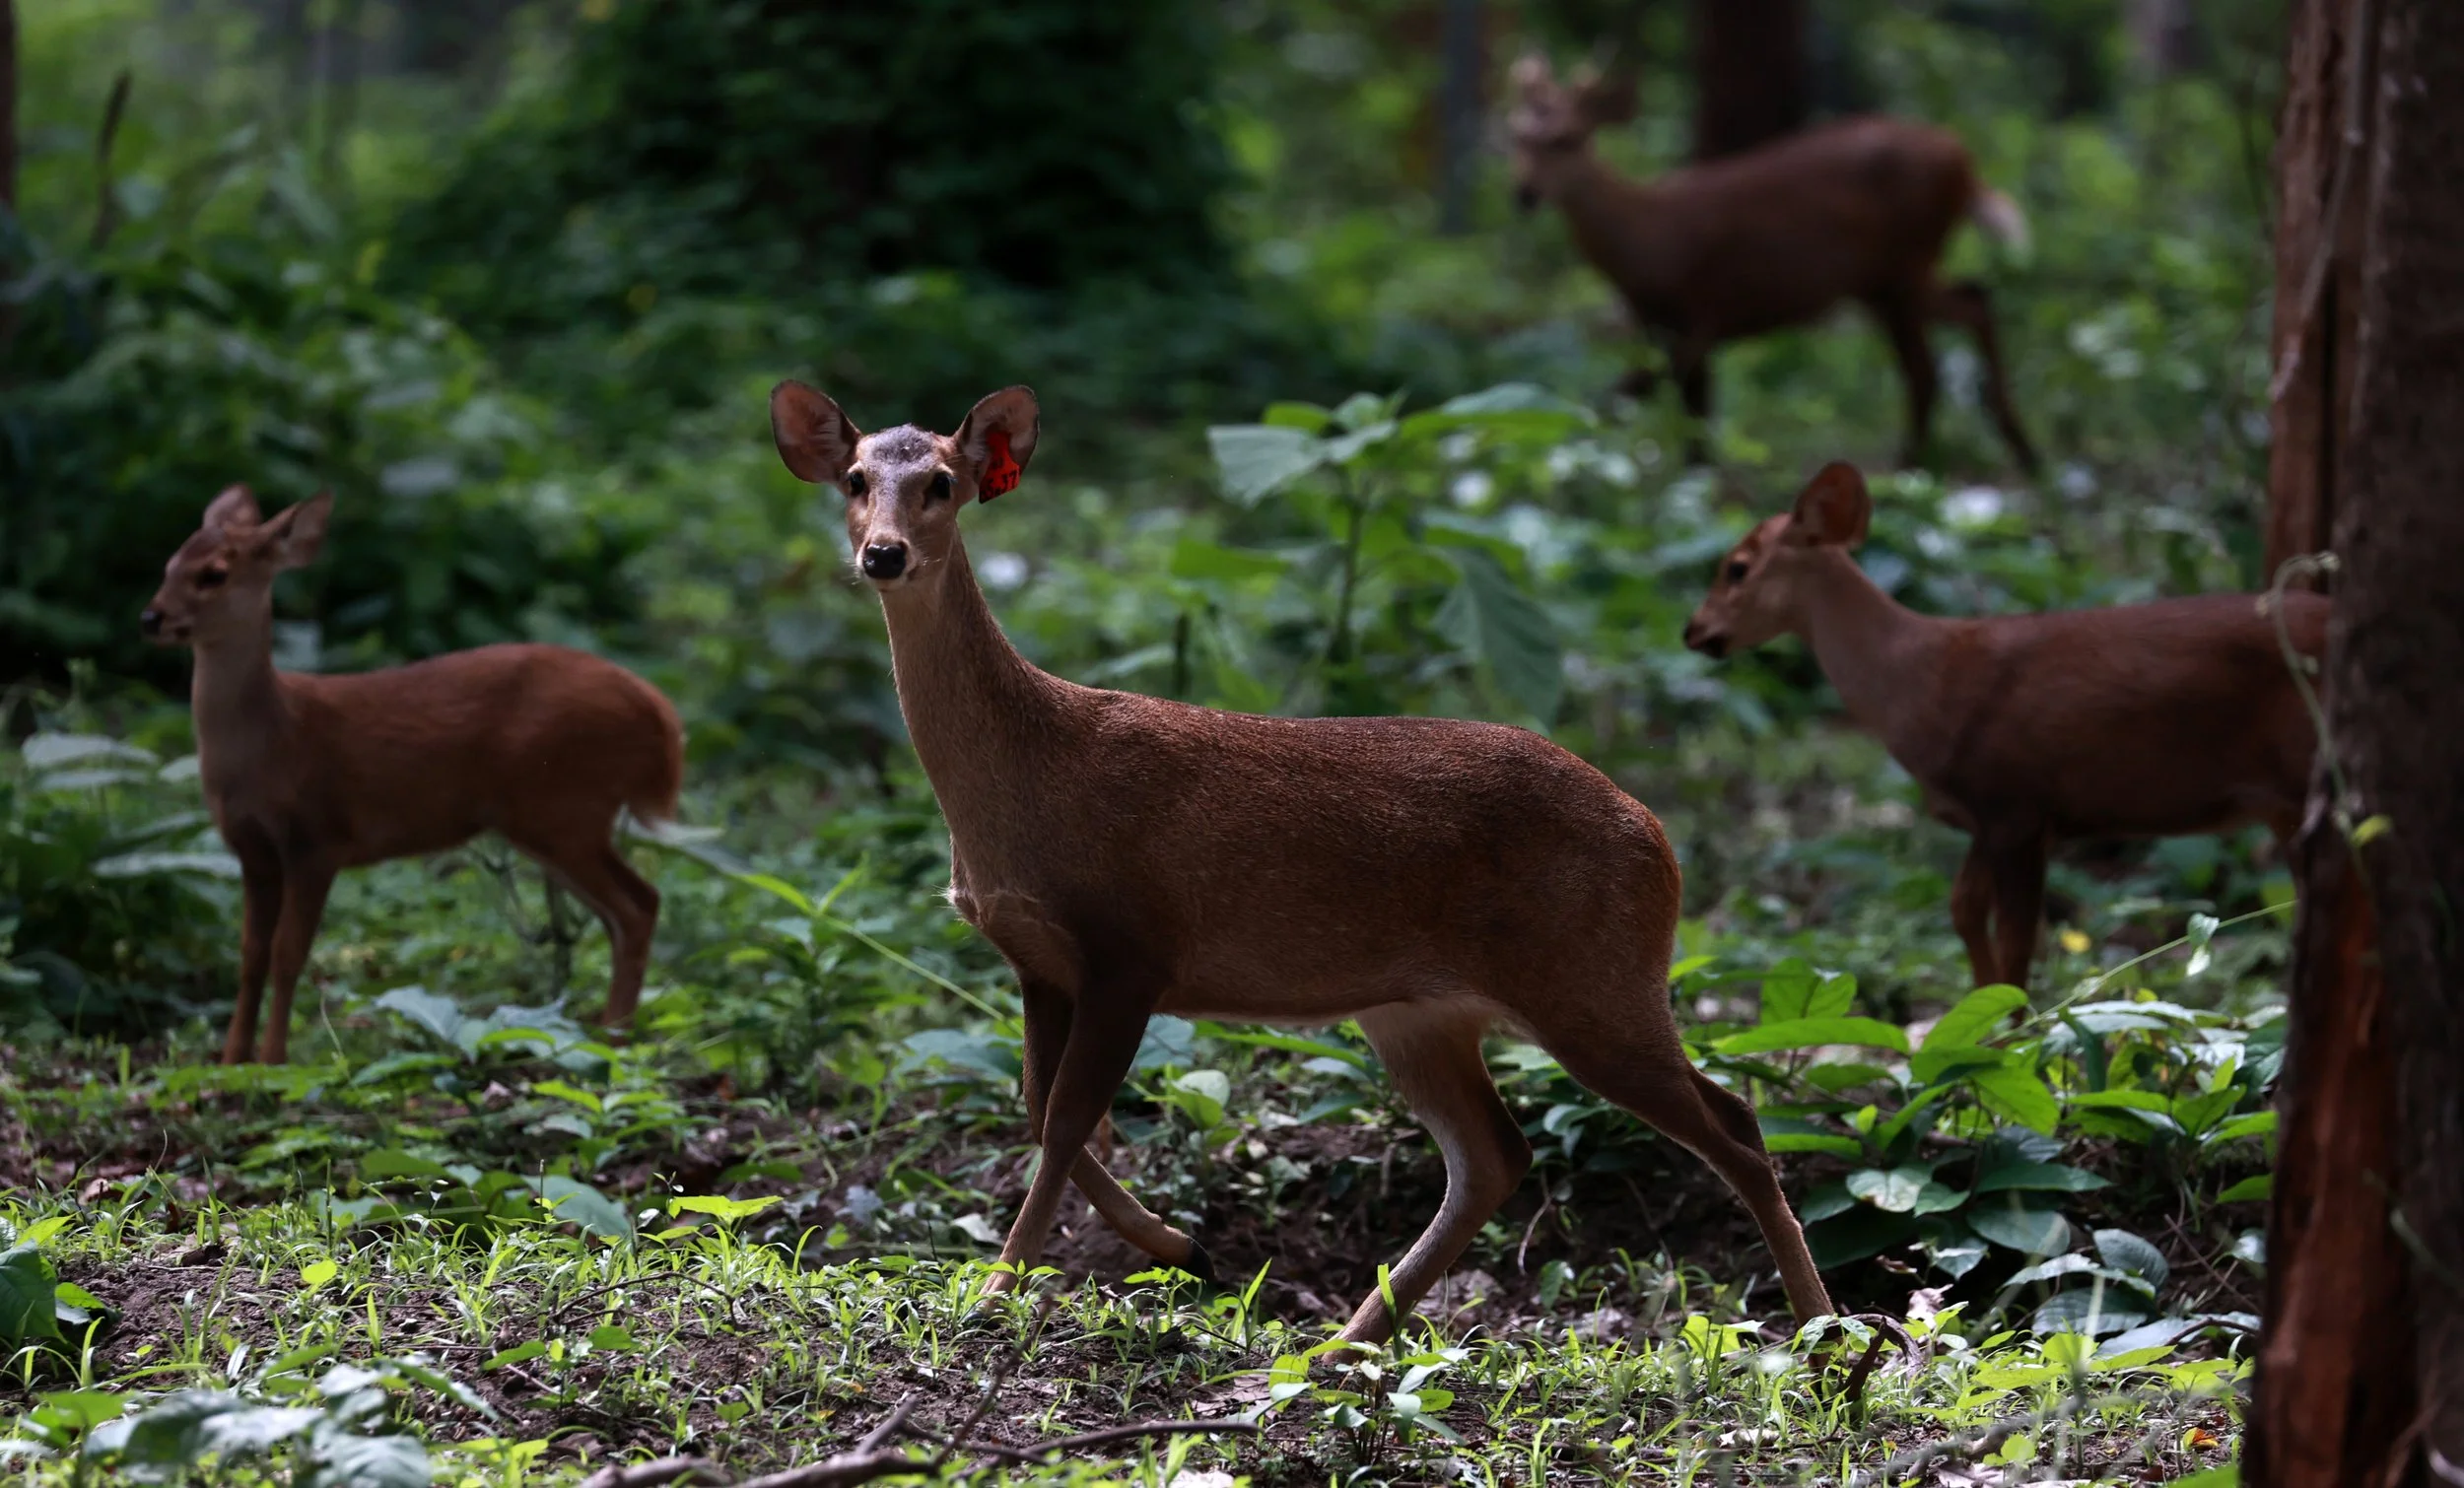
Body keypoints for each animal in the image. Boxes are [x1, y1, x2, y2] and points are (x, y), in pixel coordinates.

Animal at [140, 485, 684, 1064]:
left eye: (214, 574)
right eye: (169, 564)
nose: (151, 618)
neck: (274, 741)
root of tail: (658, 714)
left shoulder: (319, 836)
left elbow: (290, 953)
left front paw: (272, 1061)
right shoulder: (252, 848)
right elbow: (250, 953)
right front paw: (231, 1060)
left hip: (563, 807)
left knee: (639, 905)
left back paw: (614, 1039)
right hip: (554, 819)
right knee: (623, 912)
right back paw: (606, 1035)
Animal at [768, 379, 1836, 1345]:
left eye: (942, 482)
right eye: (856, 479)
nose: (883, 552)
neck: (1026, 777)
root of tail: (1658, 837)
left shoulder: (1132, 944)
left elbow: (1068, 1118)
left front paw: (1001, 1288)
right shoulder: (1039, 959)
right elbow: (1039, 1111)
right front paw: (1180, 1248)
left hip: (1593, 975)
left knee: (1736, 1124)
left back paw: (1822, 1326)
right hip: (1419, 1009)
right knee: (1496, 1154)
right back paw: (1343, 1340)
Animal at [1507, 53, 2038, 475]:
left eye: (1568, 138)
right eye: (1517, 138)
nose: (1525, 194)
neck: (1646, 244)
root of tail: (1964, 161)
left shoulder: (1699, 315)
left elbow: (1621, 399)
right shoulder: (1663, 327)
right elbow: (1693, 423)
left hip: (1904, 265)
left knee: (1928, 366)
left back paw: (1911, 471)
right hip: (1882, 282)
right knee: (1974, 300)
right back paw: (2021, 451)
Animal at [1682, 461, 2328, 989]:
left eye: (1736, 568)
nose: (1693, 630)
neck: (1919, 682)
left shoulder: (2018, 802)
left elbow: (2018, 940)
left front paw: (2015, 1038)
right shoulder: (1985, 813)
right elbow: (1963, 910)